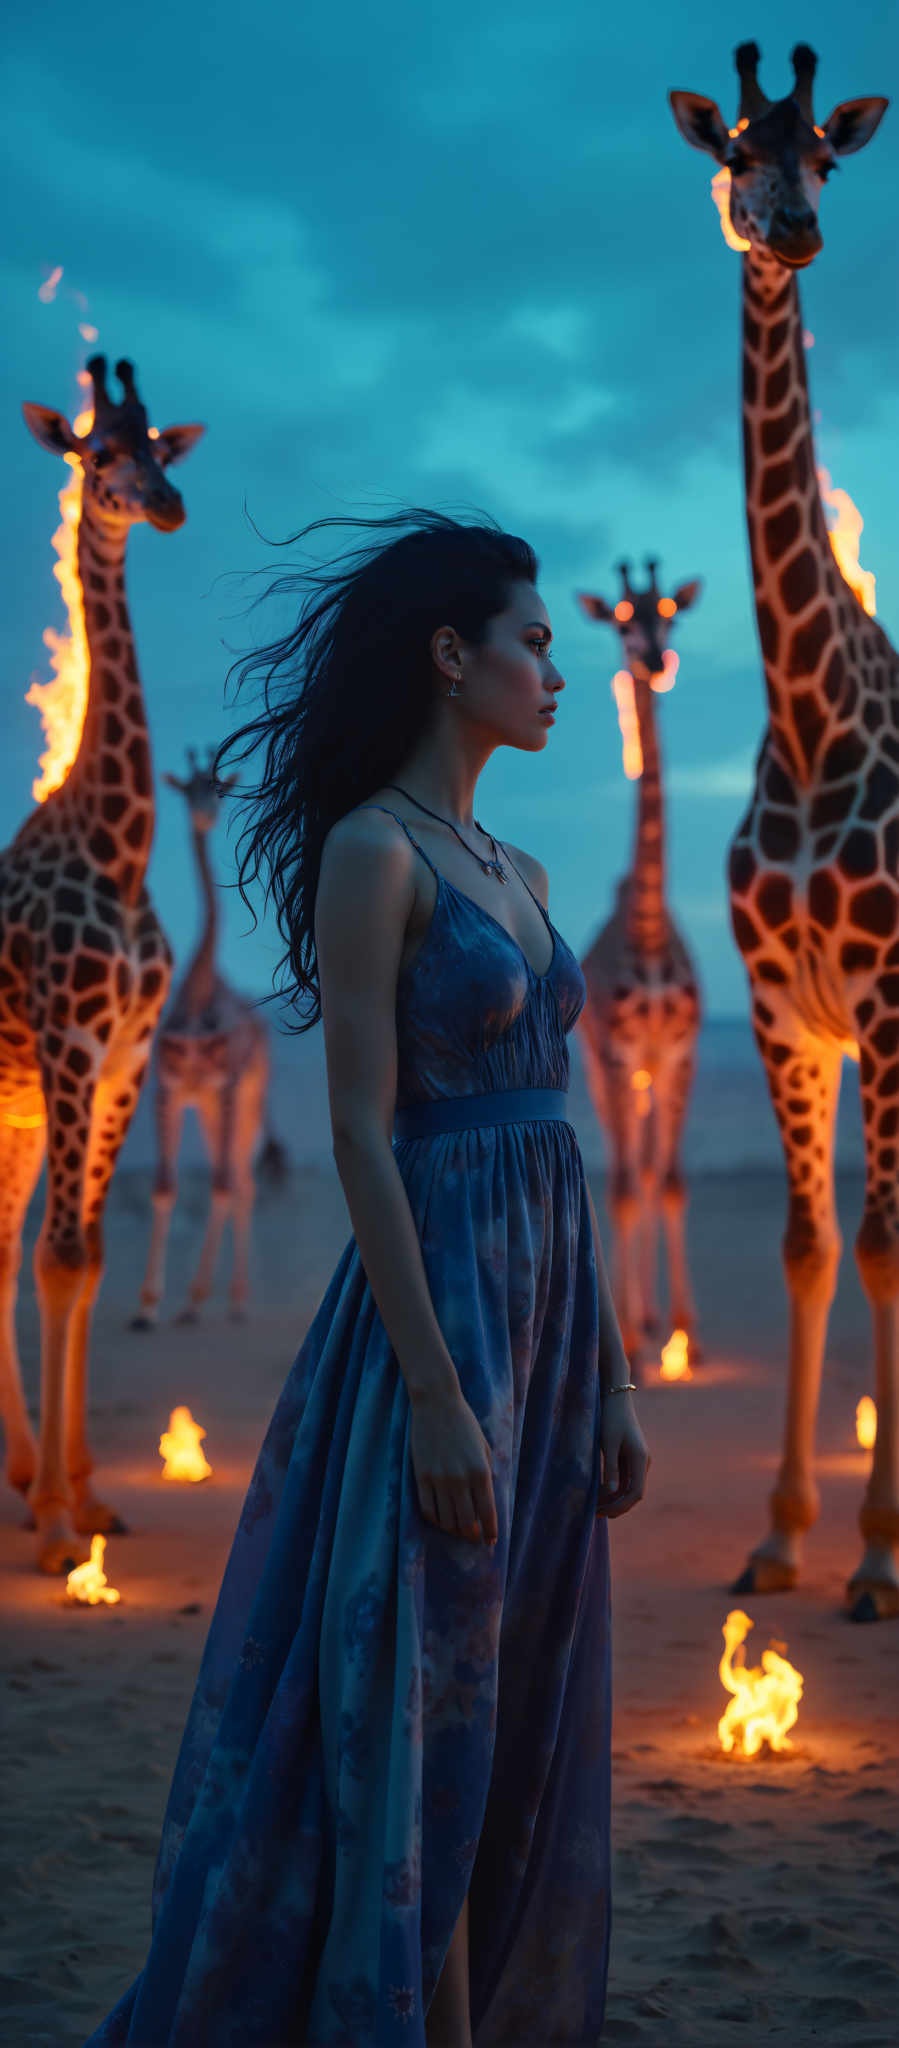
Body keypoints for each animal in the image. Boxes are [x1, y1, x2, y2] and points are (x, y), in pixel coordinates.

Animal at [131, 749, 282, 1327]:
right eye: (187, 789)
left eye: (219, 788)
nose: (206, 817)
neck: (197, 998)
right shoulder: (170, 1089)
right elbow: (163, 1188)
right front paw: (148, 1305)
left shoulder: (226, 1086)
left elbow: (218, 1185)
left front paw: (194, 1300)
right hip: (212, 1109)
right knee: (234, 1181)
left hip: (247, 1100)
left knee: (239, 1182)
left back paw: (231, 1297)